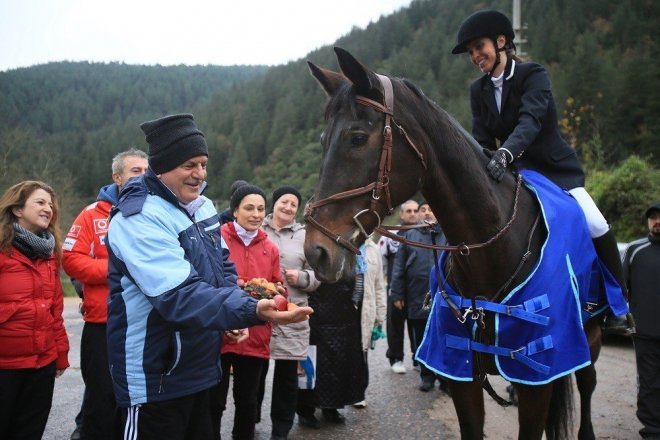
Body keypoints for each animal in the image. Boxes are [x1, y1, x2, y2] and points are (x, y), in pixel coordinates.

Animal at [302, 48, 604, 440]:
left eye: (356, 137)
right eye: (324, 142)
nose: (315, 251)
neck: (489, 255)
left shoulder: (537, 379)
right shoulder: (462, 375)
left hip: (590, 338)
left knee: (587, 384)